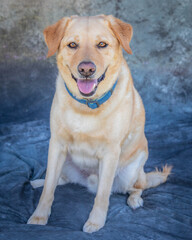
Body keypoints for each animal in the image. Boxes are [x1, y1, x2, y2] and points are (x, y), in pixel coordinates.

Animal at [26, 15, 171, 232]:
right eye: (72, 45)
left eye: (102, 44)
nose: (86, 69)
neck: (87, 105)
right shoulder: (57, 144)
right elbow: (49, 188)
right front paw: (39, 216)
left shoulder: (110, 152)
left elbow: (102, 195)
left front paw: (96, 222)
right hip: (65, 161)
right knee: (61, 179)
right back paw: (38, 182)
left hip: (130, 173)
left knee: (137, 186)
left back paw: (135, 200)